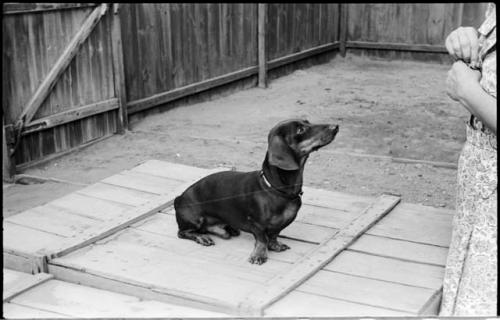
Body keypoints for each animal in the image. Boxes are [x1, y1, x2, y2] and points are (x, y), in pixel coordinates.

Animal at [173, 119, 340, 264]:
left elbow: (273, 235)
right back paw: (202, 237)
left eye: (307, 122)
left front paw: (275, 245)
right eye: (300, 130)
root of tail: (179, 198)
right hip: (194, 218)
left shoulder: (283, 222)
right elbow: (262, 239)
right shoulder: (256, 224)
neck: (275, 190)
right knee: (183, 232)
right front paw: (259, 255)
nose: (336, 126)